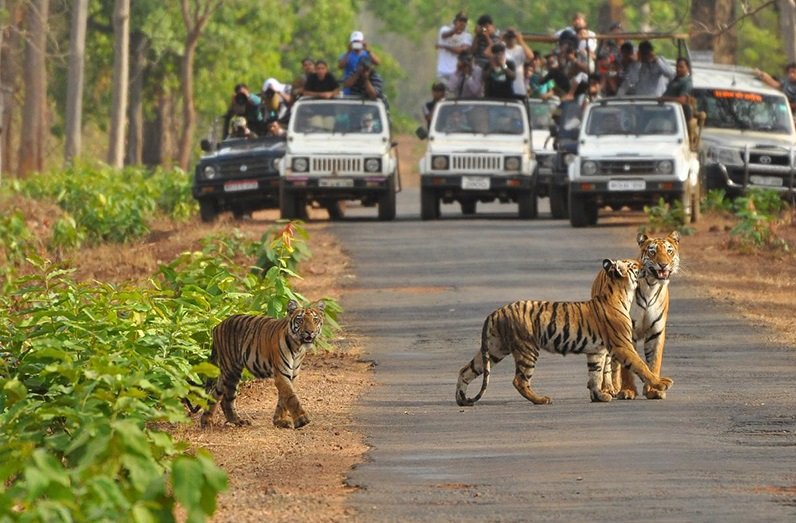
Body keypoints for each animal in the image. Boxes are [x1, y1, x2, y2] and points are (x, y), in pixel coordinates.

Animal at [197, 298, 324, 430]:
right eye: (300, 320)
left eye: (315, 320)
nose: (310, 332)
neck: (297, 347)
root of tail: (217, 326)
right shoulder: (281, 374)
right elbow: (291, 397)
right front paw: (302, 420)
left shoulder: (292, 375)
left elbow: (283, 399)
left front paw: (280, 421)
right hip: (232, 370)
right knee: (227, 399)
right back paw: (237, 421)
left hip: (226, 372)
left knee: (215, 393)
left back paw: (207, 421)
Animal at [458, 260, 676, 408]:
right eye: (633, 264)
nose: (644, 263)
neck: (620, 293)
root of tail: (496, 312)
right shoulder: (622, 345)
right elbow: (641, 365)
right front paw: (661, 384)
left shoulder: (596, 351)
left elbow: (595, 374)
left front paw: (599, 396)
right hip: (527, 348)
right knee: (519, 380)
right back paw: (541, 400)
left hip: (495, 348)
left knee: (466, 370)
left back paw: (461, 399)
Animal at [608, 231, 680, 400]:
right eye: (652, 252)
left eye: (669, 251)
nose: (663, 264)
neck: (651, 286)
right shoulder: (626, 332)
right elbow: (627, 366)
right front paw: (627, 391)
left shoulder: (656, 332)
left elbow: (654, 362)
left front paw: (654, 390)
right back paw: (612, 388)